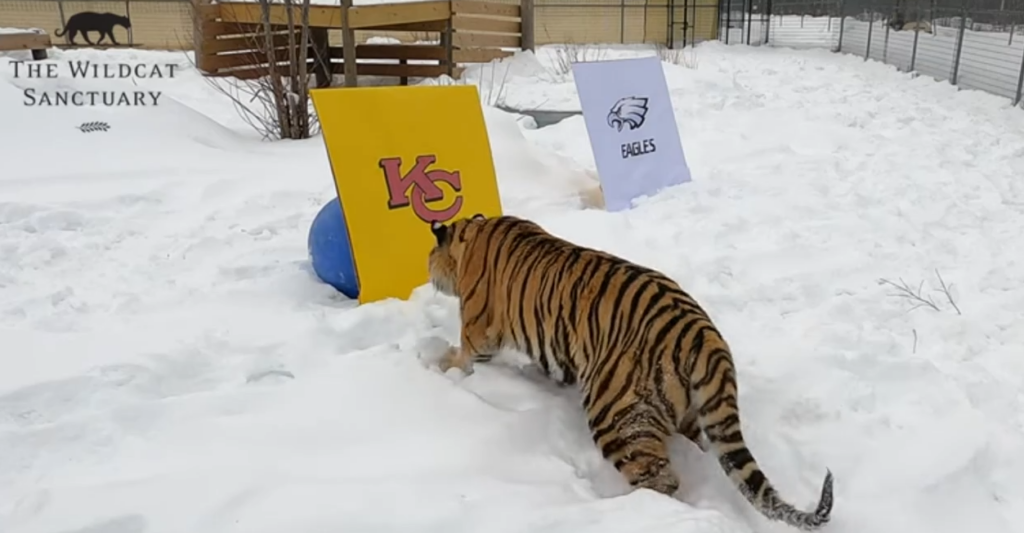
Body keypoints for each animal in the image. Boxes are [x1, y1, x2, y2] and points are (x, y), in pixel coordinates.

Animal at [427, 213, 835, 531]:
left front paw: (438, 363)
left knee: (660, 478)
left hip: (617, 415)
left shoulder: (479, 332)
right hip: (687, 411)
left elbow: (464, 356)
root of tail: (705, 336)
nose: (428, 275)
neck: (472, 236)